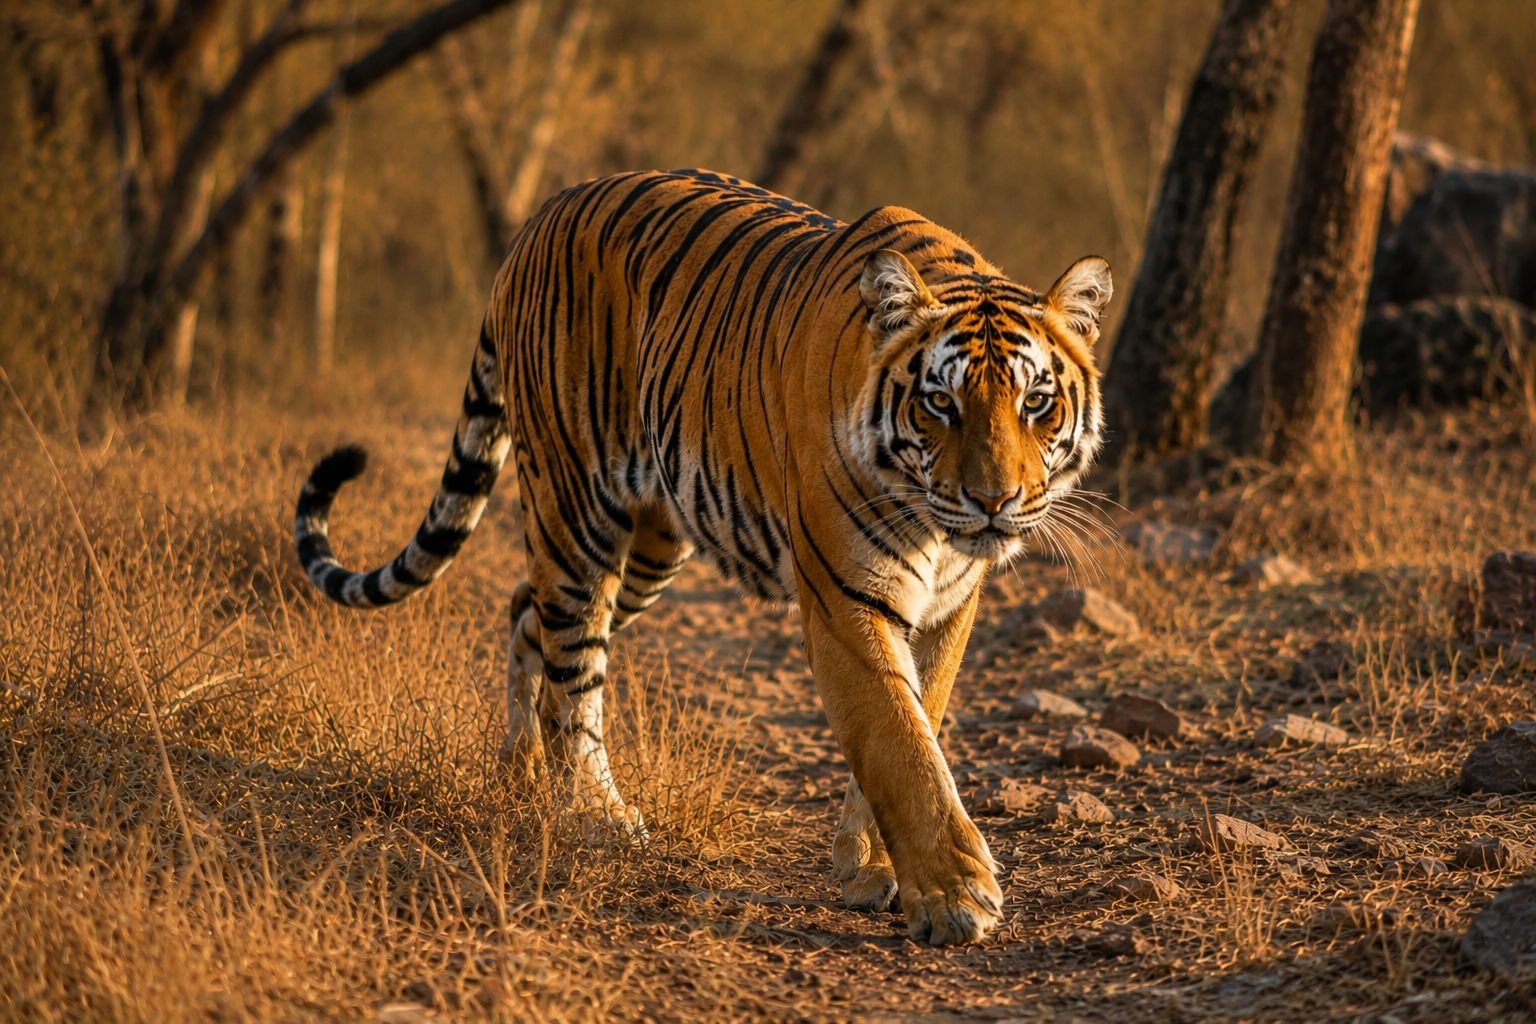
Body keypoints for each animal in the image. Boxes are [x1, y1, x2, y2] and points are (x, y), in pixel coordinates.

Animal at [293, 169, 1111, 946]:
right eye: (941, 402)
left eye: (1036, 403)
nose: (995, 500)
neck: (936, 529)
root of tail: (538, 218)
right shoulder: (846, 600)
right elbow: (898, 740)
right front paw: (953, 897)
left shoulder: (950, 603)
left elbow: (924, 715)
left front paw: (872, 868)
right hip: (575, 510)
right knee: (574, 666)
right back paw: (594, 814)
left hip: (654, 546)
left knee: (530, 616)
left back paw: (522, 776)